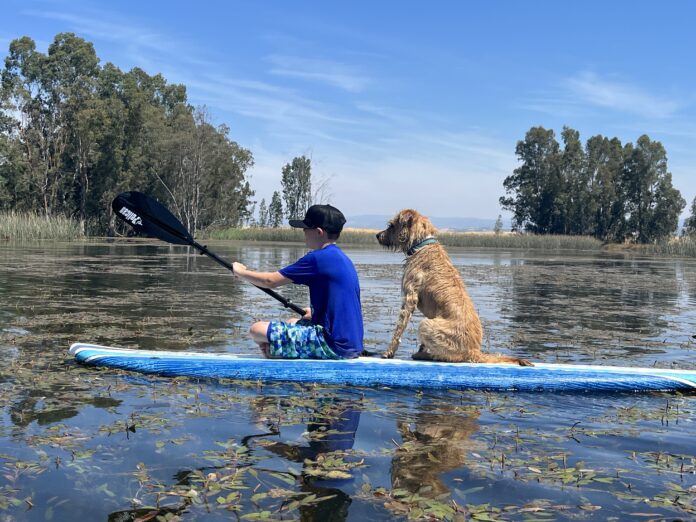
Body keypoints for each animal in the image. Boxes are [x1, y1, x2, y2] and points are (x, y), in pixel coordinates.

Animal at [376, 209, 532, 364]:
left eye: (391, 225)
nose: (377, 235)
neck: (421, 245)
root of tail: (474, 351)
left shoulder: (410, 297)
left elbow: (399, 328)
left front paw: (389, 352)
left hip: (426, 325)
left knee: (449, 357)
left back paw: (423, 355)